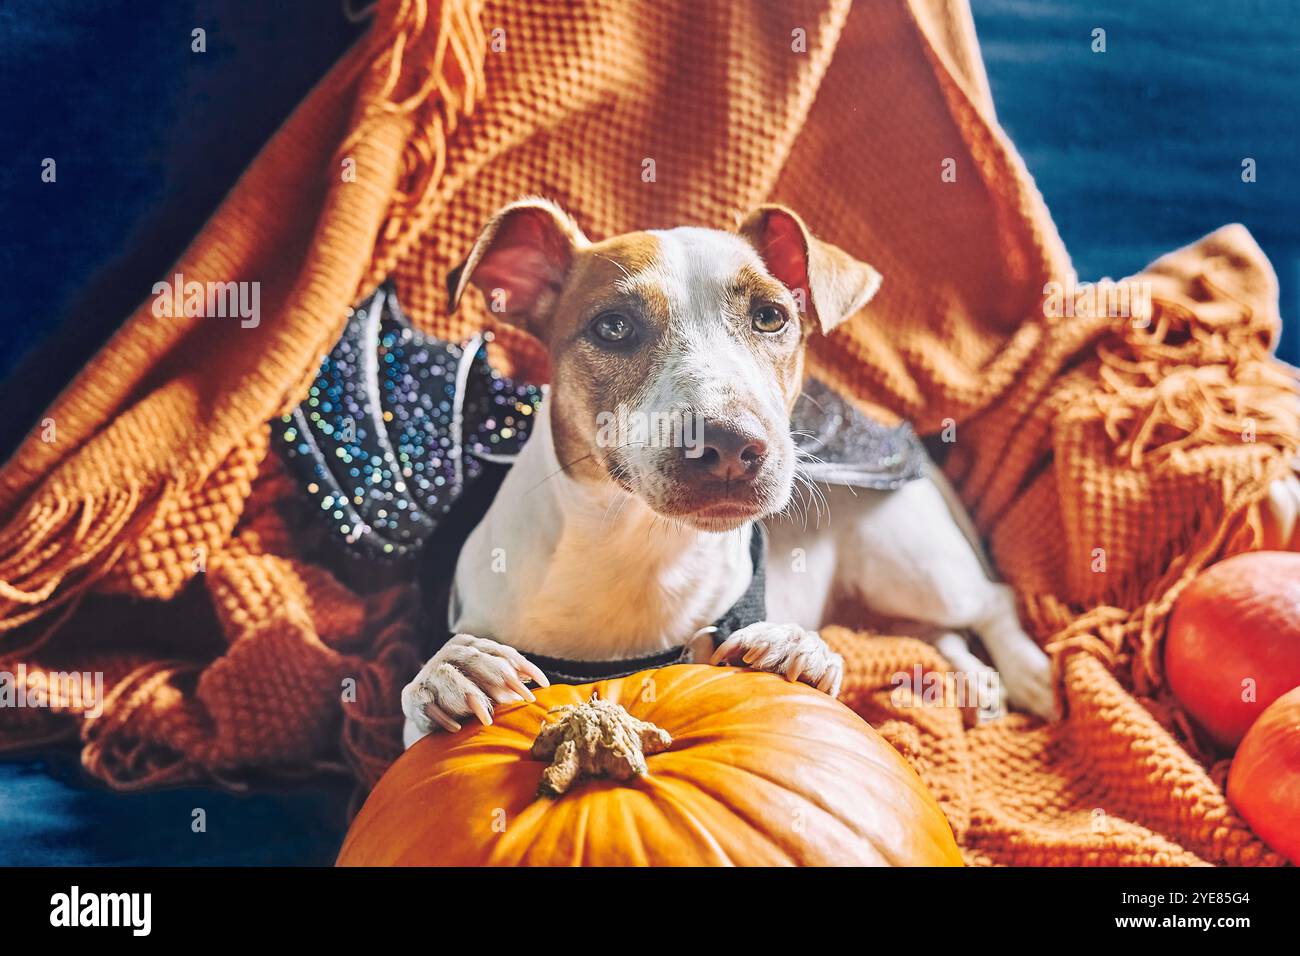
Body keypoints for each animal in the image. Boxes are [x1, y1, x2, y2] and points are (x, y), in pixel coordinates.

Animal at [400, 196, 1060, 749]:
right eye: (612, 326)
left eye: (770, 317)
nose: (729, 445)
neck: (636, 554)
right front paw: (446, 675)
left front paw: (797, 650)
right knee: (933, 632)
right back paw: (977, 683)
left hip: (911, 566)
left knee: (990, 601)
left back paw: (1029, 674)